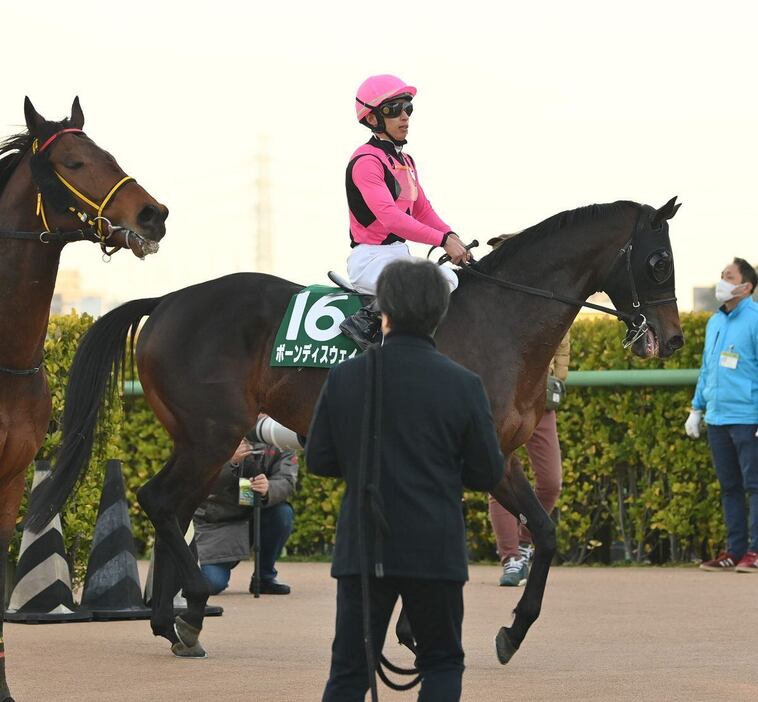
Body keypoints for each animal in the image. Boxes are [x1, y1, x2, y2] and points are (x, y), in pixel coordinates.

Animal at [29, 198, 684, 664]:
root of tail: (166, 301)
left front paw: (496, 630)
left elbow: (542, 533)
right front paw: (446, 630)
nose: (673, 339)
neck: (498, 321)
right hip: (215, 434)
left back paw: (171, 623)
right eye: (658, 263)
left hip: (200, 440)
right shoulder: (469, 456)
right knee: (162, 501)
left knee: (170, 506)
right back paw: (190, 612)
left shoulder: (497, 454)